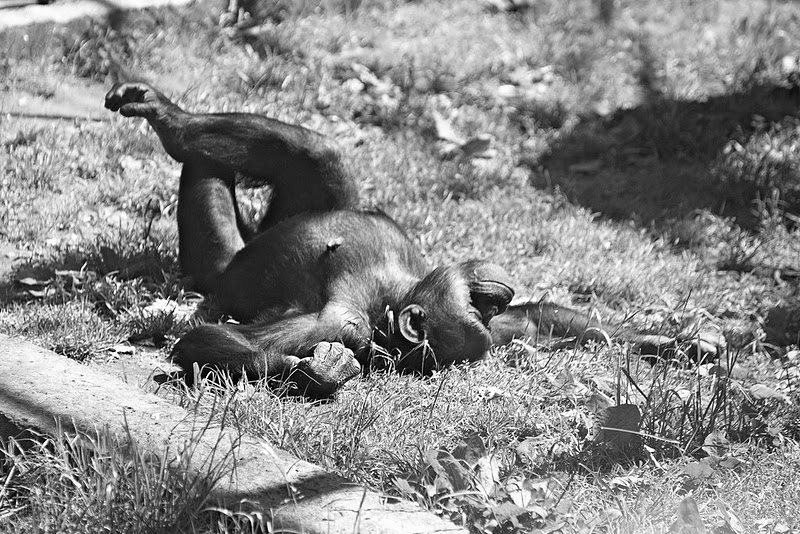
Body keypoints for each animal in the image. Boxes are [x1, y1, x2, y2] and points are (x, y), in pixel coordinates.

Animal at [104, 83, 710, 398]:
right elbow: (540, 319)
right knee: (315, 152)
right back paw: (168, 113)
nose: (494, 300)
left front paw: (319, 373)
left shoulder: (339, 323)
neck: (390, 299)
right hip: (313, 200)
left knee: (217, 189)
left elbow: (212, 342)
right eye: (478, 306)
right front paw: (682, 341)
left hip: (220, 261)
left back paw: (171, 128)